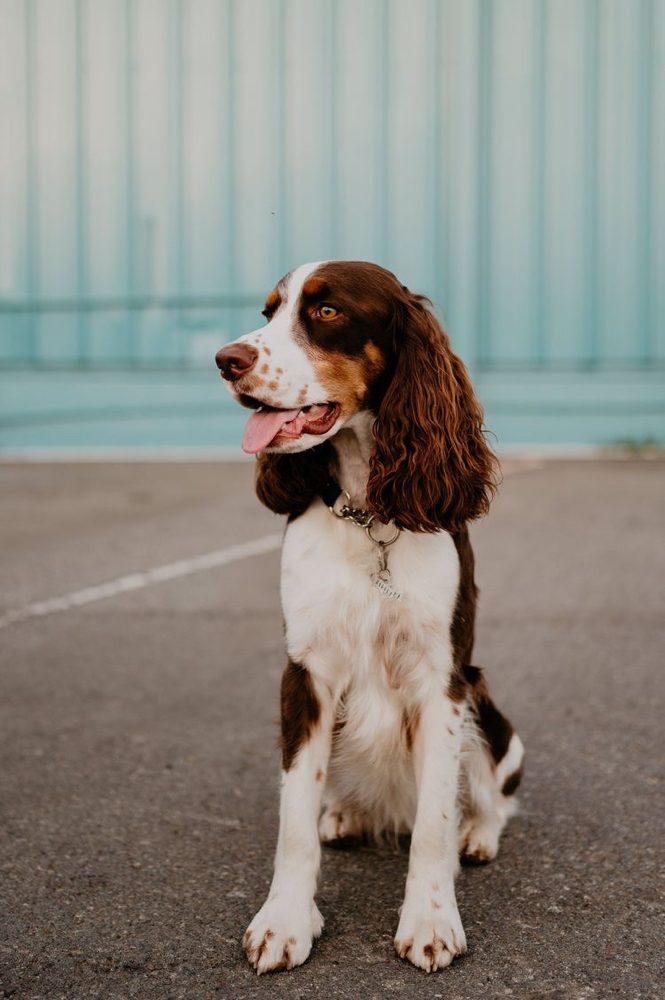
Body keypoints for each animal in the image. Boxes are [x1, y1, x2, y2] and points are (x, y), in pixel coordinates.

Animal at [215, 260, 520, 976]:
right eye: (268, 312)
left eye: (327, 312)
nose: (226, 360)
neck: (367, 510)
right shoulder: (306, 675)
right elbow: (294, 817)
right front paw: (284, 922)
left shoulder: (443, 683)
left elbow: (435, 820)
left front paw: (431, 920)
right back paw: (347, 815)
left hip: (485, 703)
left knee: (493, 795)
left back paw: (478, 836)